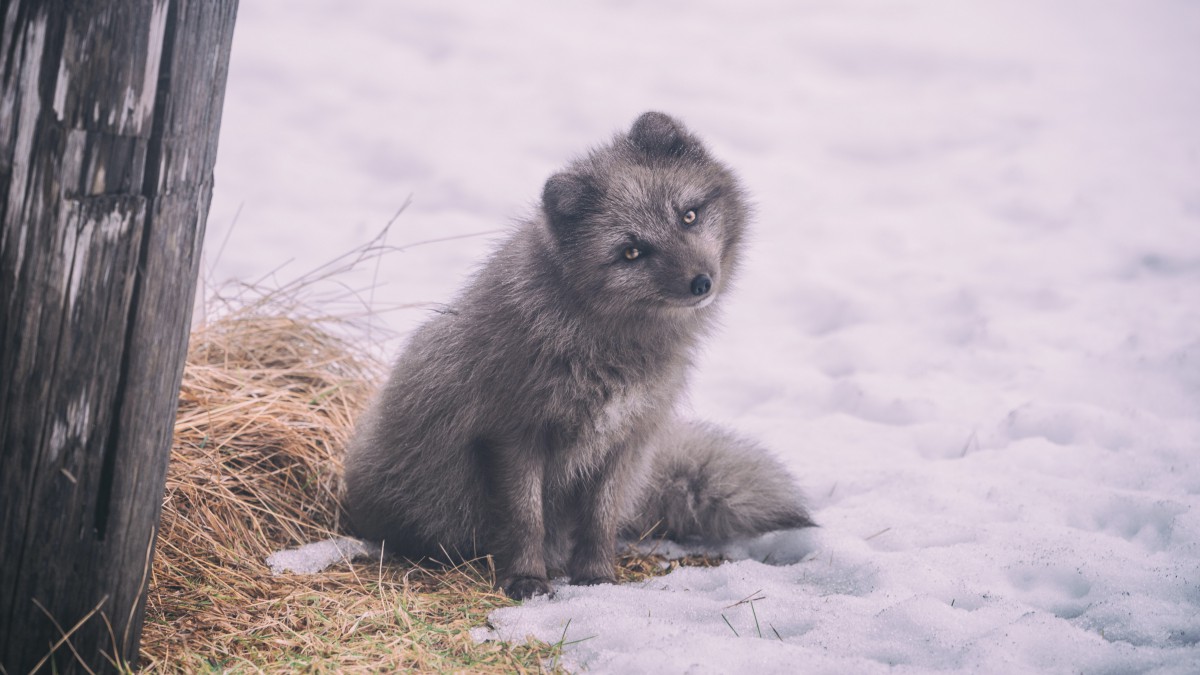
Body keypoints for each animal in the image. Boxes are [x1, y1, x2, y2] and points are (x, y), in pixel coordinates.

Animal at [348, 111, 816, 598]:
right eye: (632, 251)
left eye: (688, 215)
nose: (701, 283)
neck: (607, 348)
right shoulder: (515, 434)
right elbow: (526, 518)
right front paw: (526, 579)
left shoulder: (624, 439)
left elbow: (601, 519)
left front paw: (596, 577)